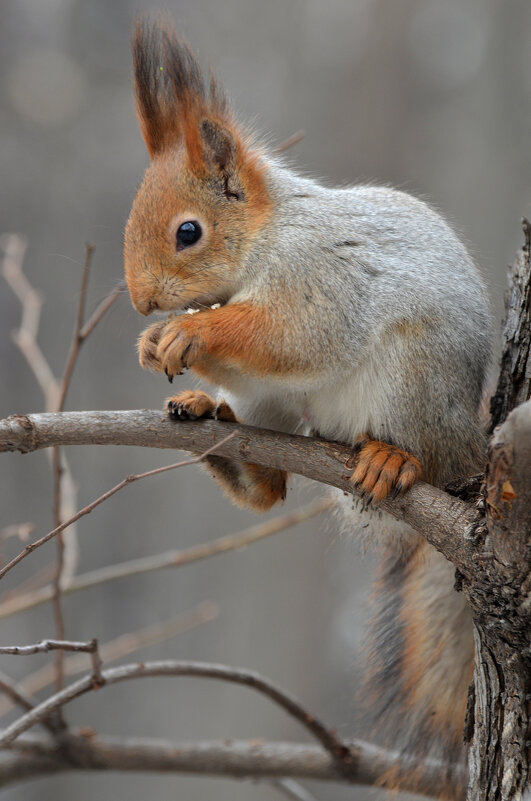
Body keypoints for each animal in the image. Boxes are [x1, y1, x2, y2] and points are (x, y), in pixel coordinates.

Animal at [123, 17, 490, 792]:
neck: (267, 239)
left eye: (187, 231)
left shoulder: (321, 276)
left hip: (413, 382)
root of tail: (474, 452)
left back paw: (393, 461)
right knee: (268, 488)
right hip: (269, 402)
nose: (139, 301)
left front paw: (192, 330)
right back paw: (213, 425)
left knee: (423, 455)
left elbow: (290, 334)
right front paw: (155, 343)